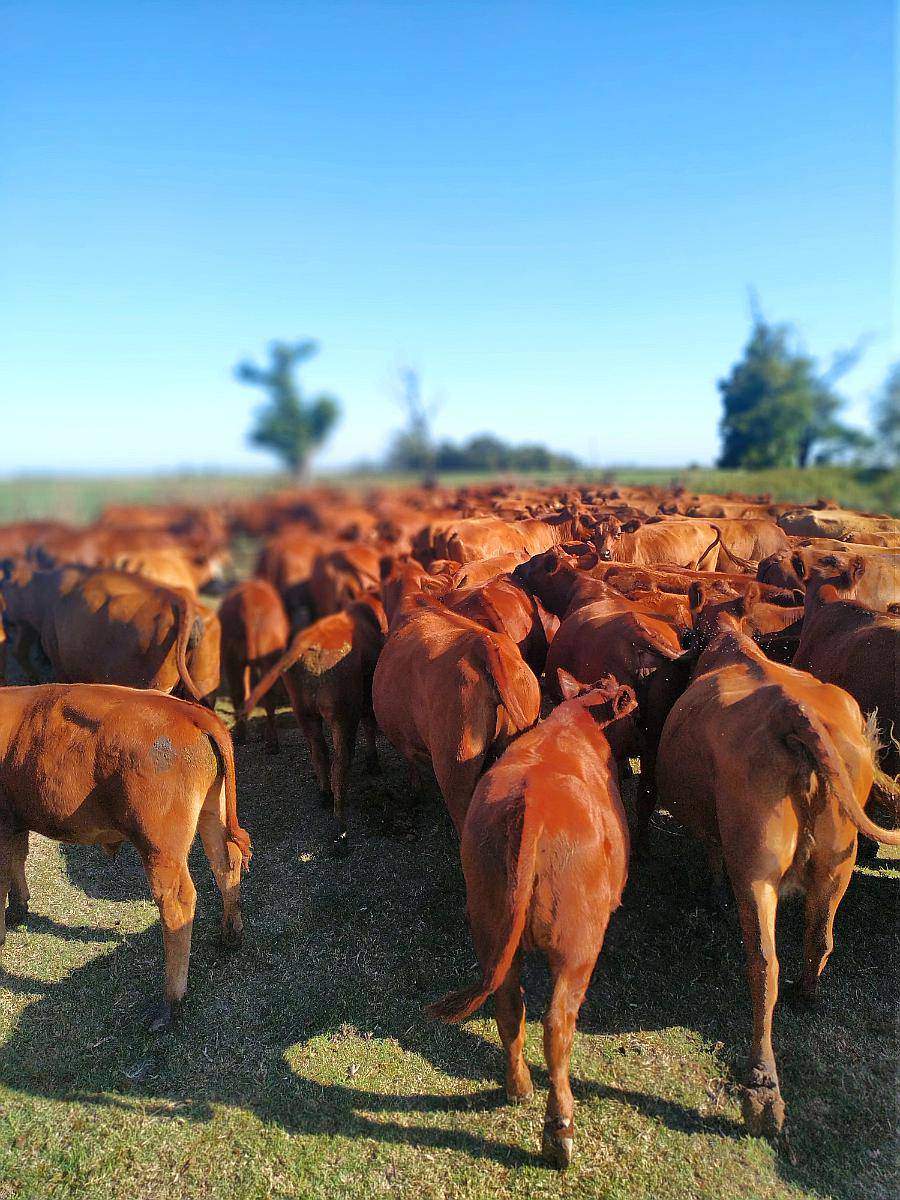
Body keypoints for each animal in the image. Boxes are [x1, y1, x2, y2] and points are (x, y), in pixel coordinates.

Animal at [0, 684, 251, 1029]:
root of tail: (188, 711)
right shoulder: (14, 820)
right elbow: (17, 858)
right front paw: (18, 907)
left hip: (160, 846)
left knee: (177, 903)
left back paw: (170, 1003)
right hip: (213, 811)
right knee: (226, 863)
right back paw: (231, 935)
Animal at [427, 673, 636, 1169]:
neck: (574, 722)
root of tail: (533, 806)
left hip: (489, 928)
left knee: (508, 1006)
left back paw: (518, 1088)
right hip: (578, 949)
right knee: (556, 1025)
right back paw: (559, 1132)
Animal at [655, 600, 900, 1136]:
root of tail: (794, 712)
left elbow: (712, 855)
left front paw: (712, 893)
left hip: (756, 868)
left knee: (764, 965)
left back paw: (762, 1087)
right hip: (838, 862)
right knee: (820, 936)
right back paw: (805, 993)